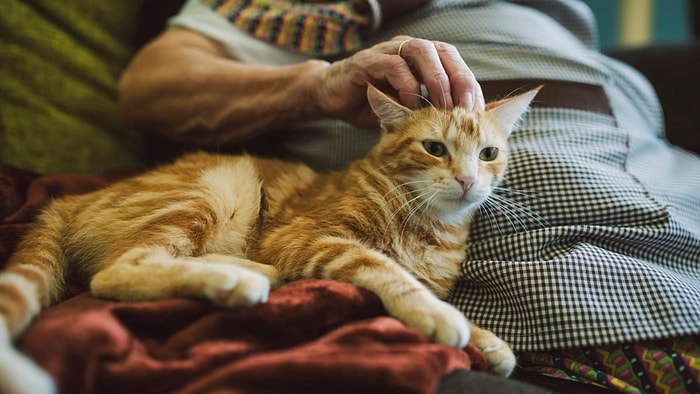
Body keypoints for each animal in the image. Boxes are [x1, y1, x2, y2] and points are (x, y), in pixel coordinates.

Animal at [0, 84, 540, 392]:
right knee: (115, 272)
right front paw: (442, 318)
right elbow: (387, 270)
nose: (468, 180)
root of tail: (70, 199)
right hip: (218, 185)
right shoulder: (308, 237)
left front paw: (486, 339)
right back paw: (234, 281)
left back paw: (253, 271)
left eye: (488, 153)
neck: (431, 227)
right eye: (434, 148)